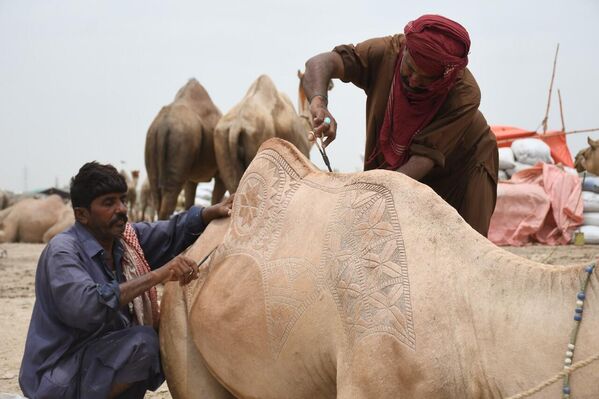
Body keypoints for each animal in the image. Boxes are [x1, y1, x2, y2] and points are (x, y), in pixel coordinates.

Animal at [146, 78, 226, 220]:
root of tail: (163, 125)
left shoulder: (191, 175)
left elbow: (190, 199)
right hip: (182, 138)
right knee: (170, 194)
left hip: (152, 141)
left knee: (156, 192)